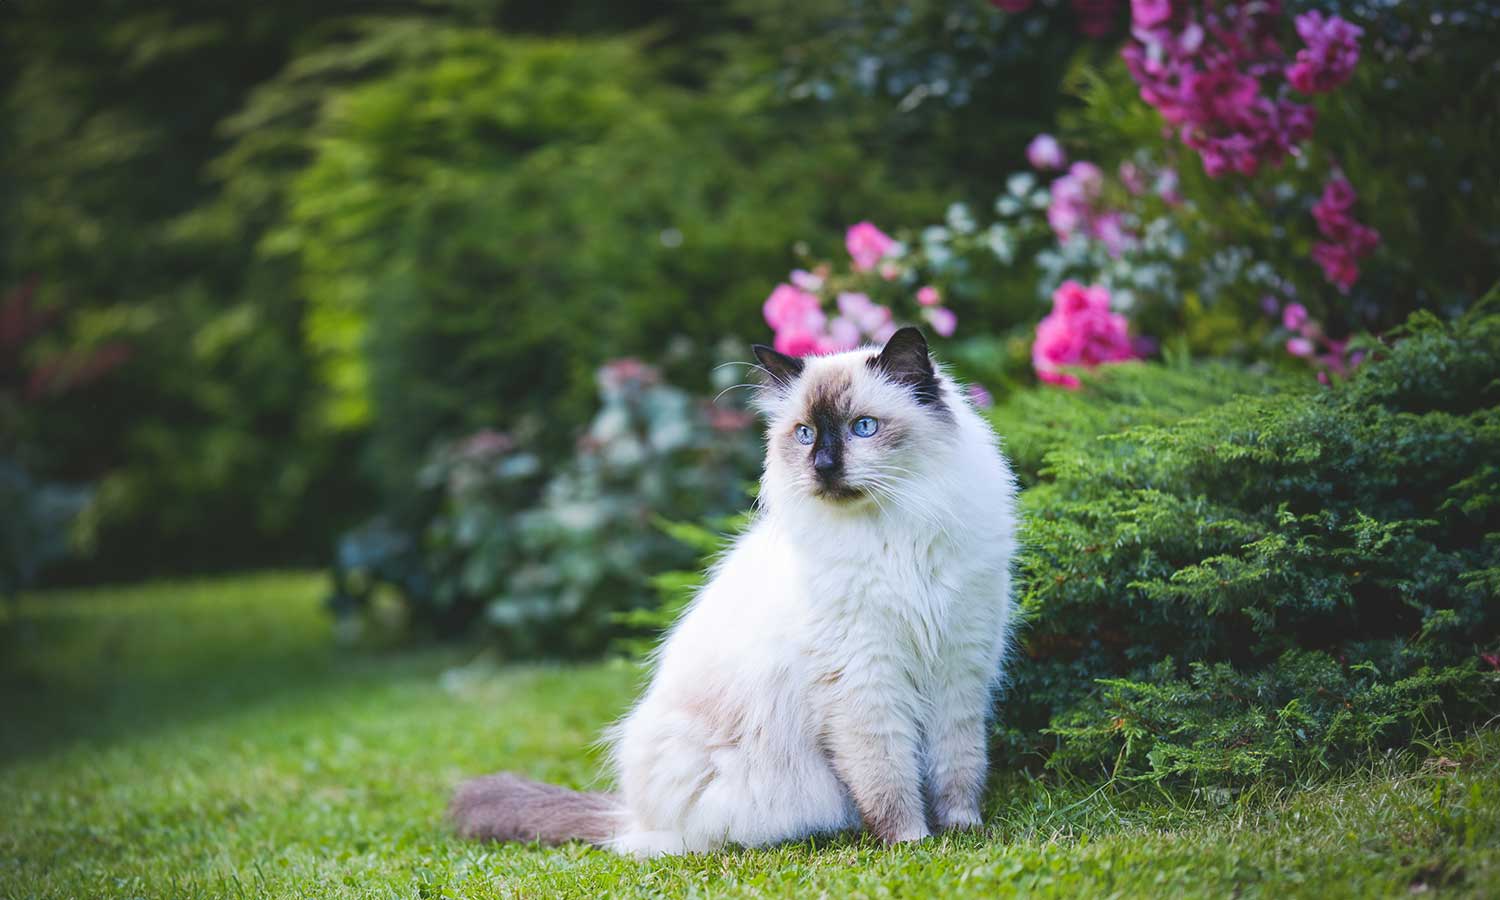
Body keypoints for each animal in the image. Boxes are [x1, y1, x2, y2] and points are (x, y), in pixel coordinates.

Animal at [450, 328, 1020, 858]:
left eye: (863, 427)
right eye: (805, 434)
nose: (823, 467)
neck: (895, 533)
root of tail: (631, 818)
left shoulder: (958, 667)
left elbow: (957, 765)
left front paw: (963, 832)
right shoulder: (865, 679)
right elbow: (889, 778)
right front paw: (911, 843)